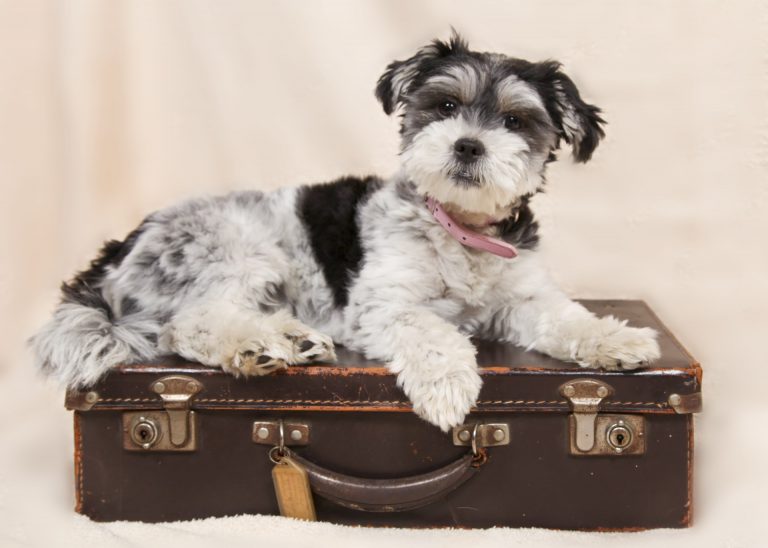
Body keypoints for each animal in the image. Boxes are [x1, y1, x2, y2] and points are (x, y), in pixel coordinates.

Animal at [30, 33, 660, 432]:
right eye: (445, 106)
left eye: (514, 120)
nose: (467, 145)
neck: (460, 232)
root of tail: (117, 250)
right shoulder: (382, 305)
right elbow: (431, 332)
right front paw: (448, 387)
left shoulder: (523, 298)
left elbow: (567, 318)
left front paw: (618, 340)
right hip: (238, 252)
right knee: (188, 325)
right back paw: (256, 347)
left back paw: (292, 340)